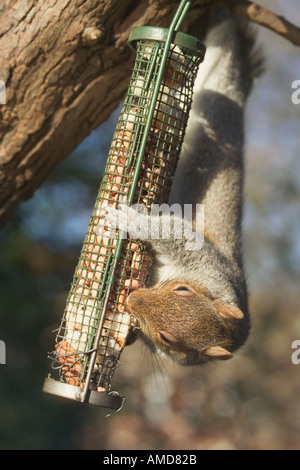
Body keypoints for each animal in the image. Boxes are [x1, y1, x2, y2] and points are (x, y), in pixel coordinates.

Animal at [105, 9, 262, 366]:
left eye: (167, 338)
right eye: (182, 290)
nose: (134, 299)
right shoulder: (201, 256)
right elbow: (170, 232)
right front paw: (131, 219)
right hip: (212, 104)